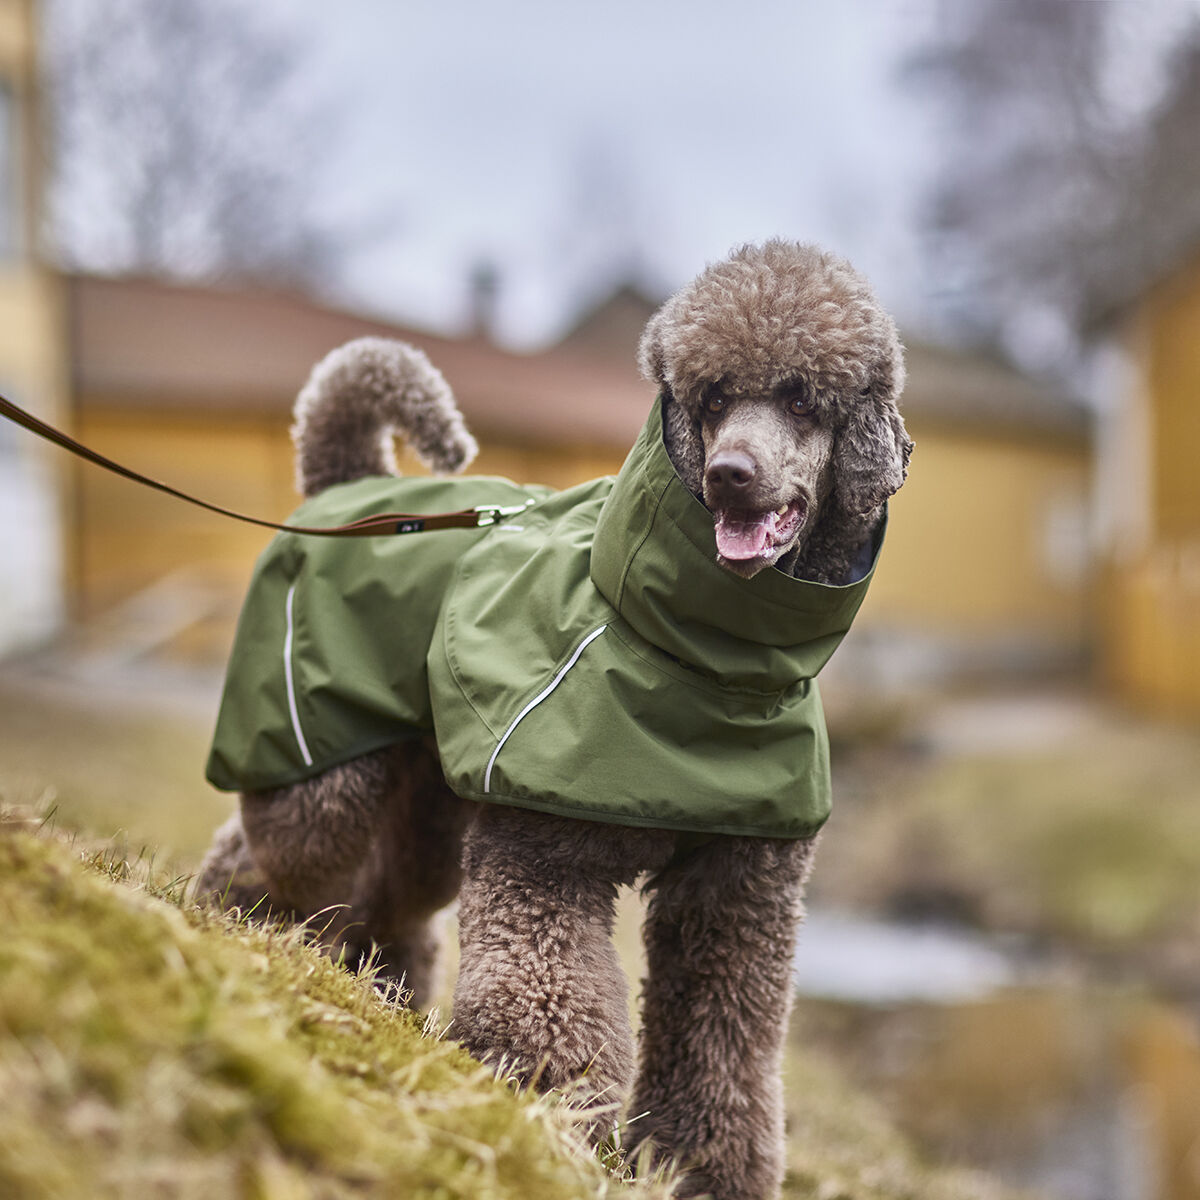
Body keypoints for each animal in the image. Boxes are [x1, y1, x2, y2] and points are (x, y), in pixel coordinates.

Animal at [198, 239, 910, 1200]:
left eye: (803, 398)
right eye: (712, 398)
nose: (729, 475)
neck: (698, 663)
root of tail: (347, 483)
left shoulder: (737, 895)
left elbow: (722, 1043)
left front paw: (700, 1168)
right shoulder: (545, 853)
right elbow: (549, 994)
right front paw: (550, 1109)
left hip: (428, 800)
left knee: (393, 892)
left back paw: (367, 980)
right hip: (324, 762)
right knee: (270, 845)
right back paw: (234, 925)